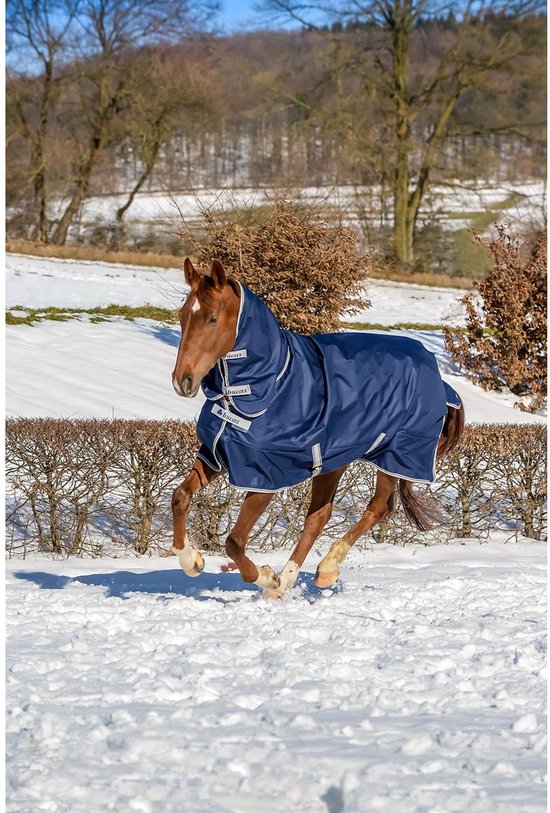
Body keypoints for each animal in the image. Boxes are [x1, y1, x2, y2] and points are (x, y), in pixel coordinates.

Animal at [171, 258, 465, 598]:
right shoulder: (216, 454)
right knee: (319, 515)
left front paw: (265, 576)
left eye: (213, 319)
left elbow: (234, 542)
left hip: (395, 456)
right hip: (332, 461)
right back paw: (289, 580)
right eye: (182, 316)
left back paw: (323, 569)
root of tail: (438, 377)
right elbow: (179, 496)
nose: (182, 381)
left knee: (378, 507)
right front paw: (191, 560)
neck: (267, 386)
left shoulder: (264, 478)